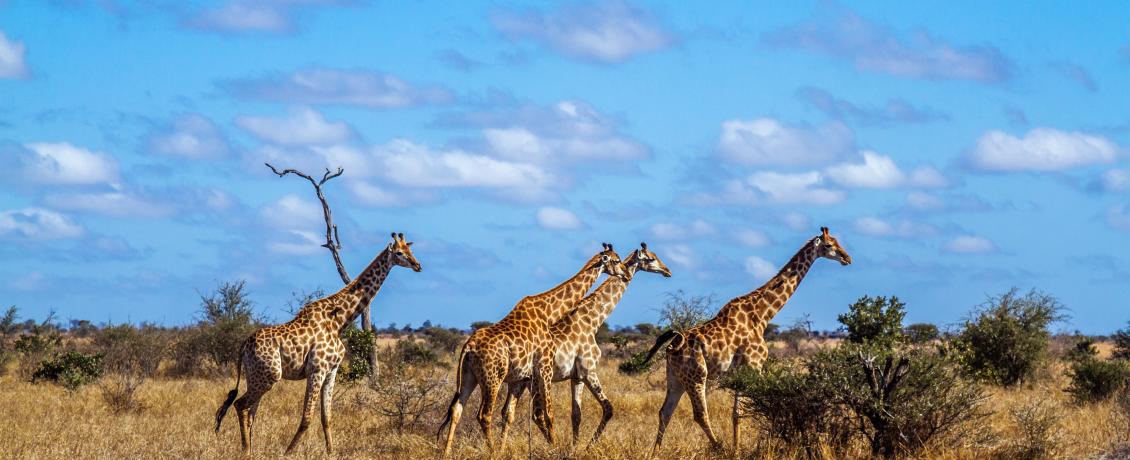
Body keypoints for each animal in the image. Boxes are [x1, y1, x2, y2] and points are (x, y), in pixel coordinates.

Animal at [213, 232, 422, 456]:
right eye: (399, 253)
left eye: (410, 250)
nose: (418, 265)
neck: (340, 322)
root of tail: (244, 346)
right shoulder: (317, 370)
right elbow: (307, 418)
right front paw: (288, 453)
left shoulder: (332, 371)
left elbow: (326, 417)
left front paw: (331, 452)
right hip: (270, 375)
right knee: (240, 405)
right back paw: (246, 450)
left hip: (255, 376)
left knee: (250, 412)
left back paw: (250, 449)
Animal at [436, 245, 628, 456]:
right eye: (616, 260)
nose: (626, 274)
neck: (548, 313)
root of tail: (468, 347)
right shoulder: (545, 368)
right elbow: (548, 414)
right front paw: (555, 448)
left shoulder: (529, 376)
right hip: (492, 378)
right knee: (484, 415)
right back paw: (493, 452)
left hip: (469, 376)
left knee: (457, 409)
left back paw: (446, 453)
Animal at [501, 241, 673, 447]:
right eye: (651, 258)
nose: (668, 271)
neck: (592, 320)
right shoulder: (588, 371)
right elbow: (608, 408)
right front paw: (589, 445)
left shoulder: (577, 377)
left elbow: (576, 414)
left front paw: (575, 447)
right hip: (535, 380)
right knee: (536, 414)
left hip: (520, 381)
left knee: (508, 413)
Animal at [641, 228, 849, 456]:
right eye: (829, 245)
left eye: (838, 241)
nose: (847, 258)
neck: (763, 314)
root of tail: (672, 346)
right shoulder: (754, 365)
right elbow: (757, 405)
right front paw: (745, 448)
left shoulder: (740, 370)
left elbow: (736, 413)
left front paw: (738, 449)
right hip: (696, 376)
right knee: (700, 414)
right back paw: (719, 449)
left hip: (675, 378)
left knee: (665, 412)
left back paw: (655, 453)